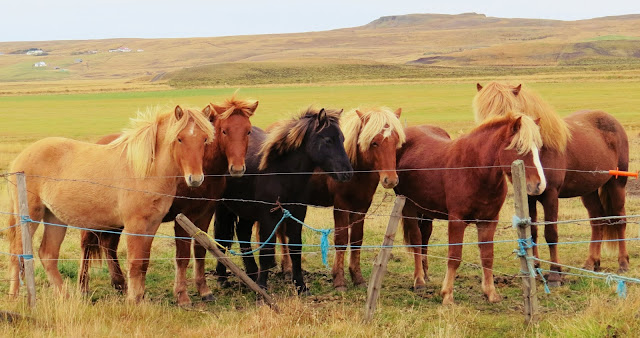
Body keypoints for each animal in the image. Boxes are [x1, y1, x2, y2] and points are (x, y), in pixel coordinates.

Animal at [79, 97, 258, 306]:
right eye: (224, 131)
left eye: (248, 131)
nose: (237, 168)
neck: (204, 168)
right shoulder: (183, 218)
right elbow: (182, 256)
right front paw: (182, 296)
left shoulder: (205, 213)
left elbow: (200, 250)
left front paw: (204, 290)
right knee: (86, 246)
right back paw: (84, 288)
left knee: (109, 245)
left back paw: (120, 284)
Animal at [218, 108, 352, 294]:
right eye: (328, 140)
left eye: (343, 139)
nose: (347, 173)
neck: (281, 172)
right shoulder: (269, 216)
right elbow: (267, 250)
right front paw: (262, 289)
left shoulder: (297, 213)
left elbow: (295, 248)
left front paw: (300, 286)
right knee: (221, 237)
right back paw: (223, 278)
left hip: (246, 211)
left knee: (243, 234)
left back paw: (252, 275)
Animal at [396, 114, 544, 306]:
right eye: (519, 147)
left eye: (538, 147)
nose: (539, 185)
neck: (475, 170)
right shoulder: (457, 221)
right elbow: (454, 257)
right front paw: (447, 295)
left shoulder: (488, 221)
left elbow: (487, 256)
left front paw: (491, 293)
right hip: (408, 206)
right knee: (416, 238)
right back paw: (419, 281)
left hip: (426, 211)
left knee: (425, 238)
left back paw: (426, 275)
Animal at [476, 83, 632, 284]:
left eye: (506, 114)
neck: (540, 150)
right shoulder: (529, 196)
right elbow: (532, 232)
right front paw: (535, 268)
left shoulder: (550, 195)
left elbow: (551, 233)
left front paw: (555, 274)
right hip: (588, 191)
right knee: (597, 221)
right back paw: (591, 263)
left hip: (616, 185)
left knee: (620, 220)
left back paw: (623, 263)